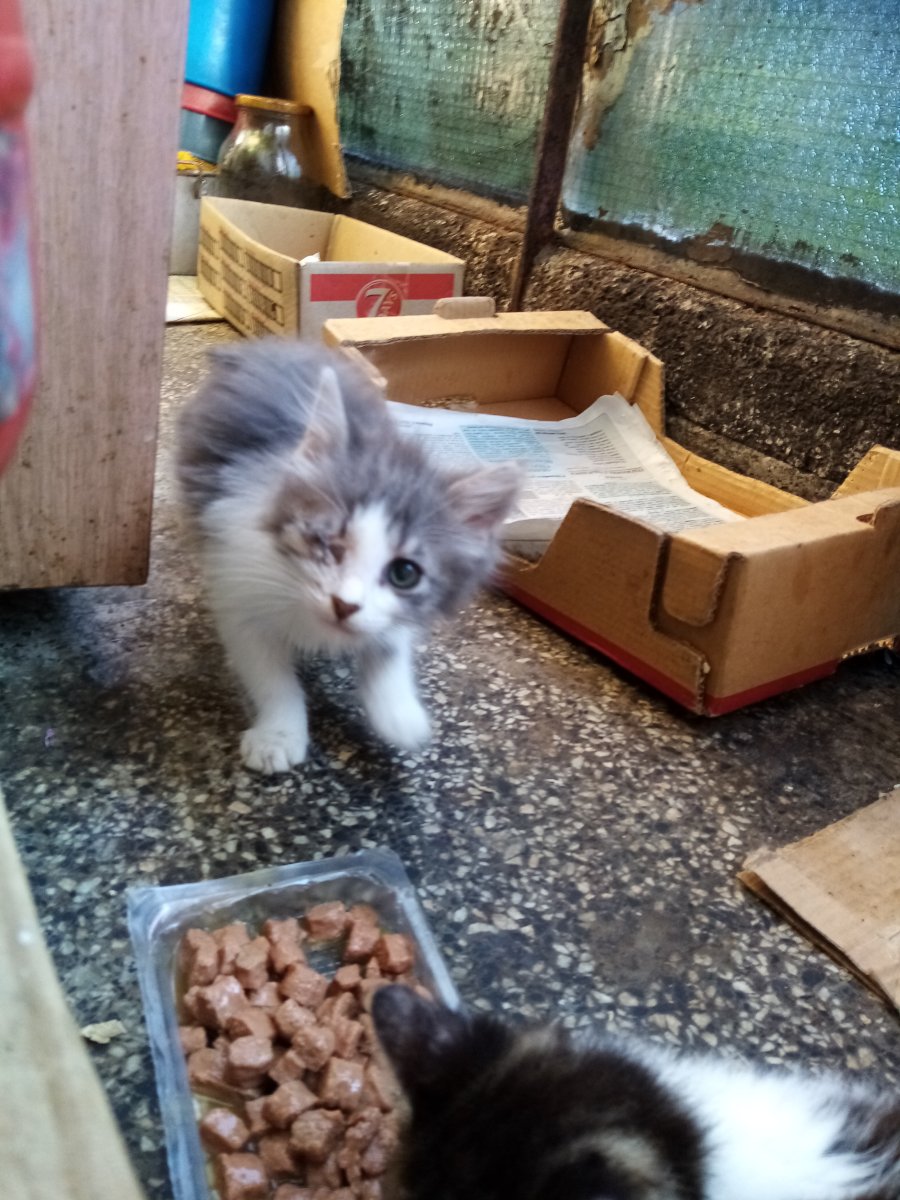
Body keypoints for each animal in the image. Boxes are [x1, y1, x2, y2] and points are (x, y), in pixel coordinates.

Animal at [176, 339, 520, 774]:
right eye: (327, 544)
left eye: (404, 573)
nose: (344, 605)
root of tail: (275, 346)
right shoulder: (240, 586)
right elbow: (270, 677)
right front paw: (279, 734)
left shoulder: (396, 613)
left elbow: (390, 645)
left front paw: (398, 712)